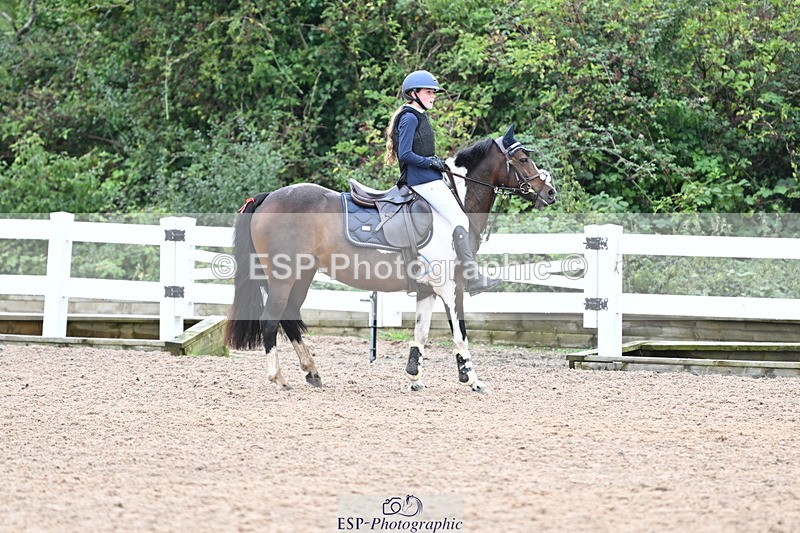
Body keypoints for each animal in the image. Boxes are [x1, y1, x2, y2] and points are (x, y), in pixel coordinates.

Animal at [224, 124, 557, 393]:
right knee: (271, 320)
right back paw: (279, 379)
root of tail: (268, 197)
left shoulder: (428, 289)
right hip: (283, 276)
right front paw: (472, 380)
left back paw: (312, 372)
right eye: (523, 159)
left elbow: (421, 332)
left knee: (290, 316)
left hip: (303, 274)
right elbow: (460, 334)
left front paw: (415, 378)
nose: (551, 192)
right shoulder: (451, 287)